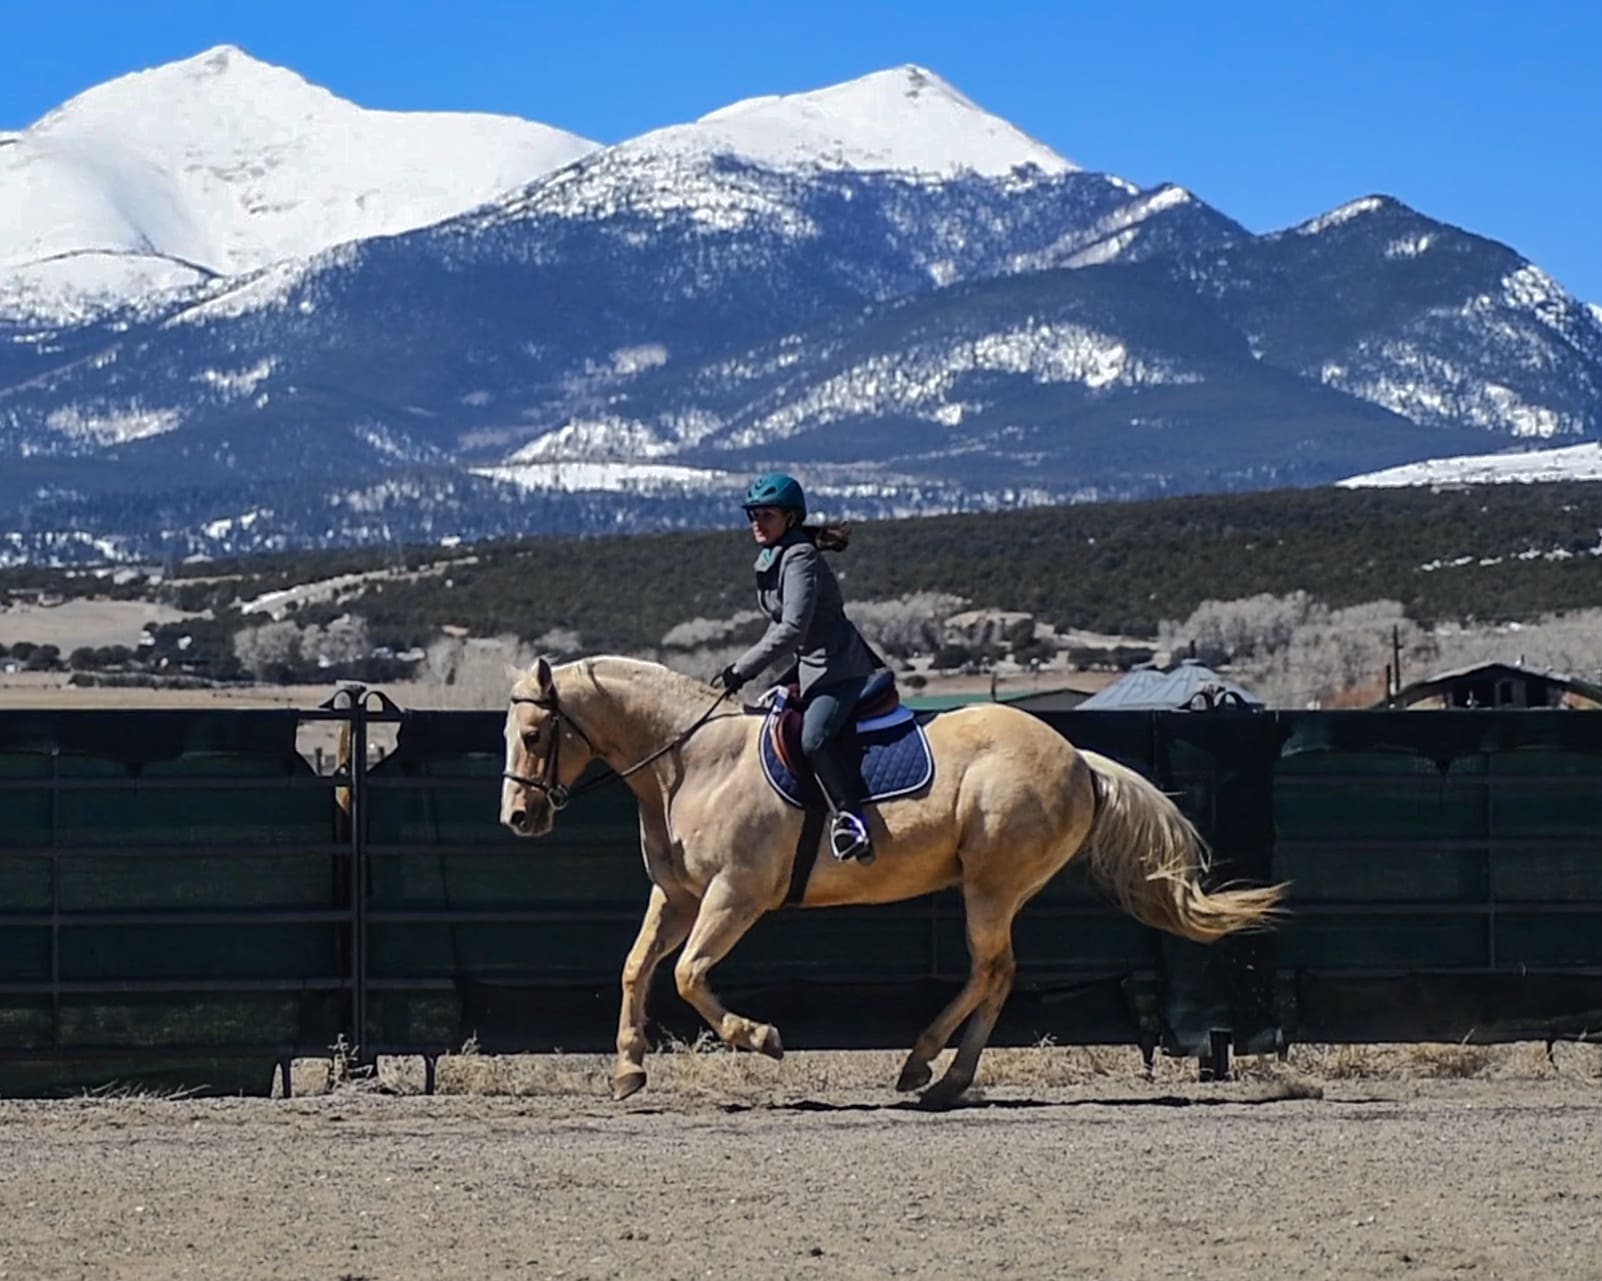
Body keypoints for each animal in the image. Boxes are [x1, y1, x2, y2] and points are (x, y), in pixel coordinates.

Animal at [499, 656, 1288, 1108]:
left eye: (535, 735)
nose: (517, 817)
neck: (692, 761)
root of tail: (1078, 759)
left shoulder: (734, 896)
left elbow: (690, 974)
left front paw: (762, 1038)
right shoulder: (681, 895)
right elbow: (637, 967)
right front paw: (628, 1071)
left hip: (990, 887)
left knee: (991, 969)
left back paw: (929, 1070)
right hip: (995, 889)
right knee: (996, 973)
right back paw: (937, 1074)